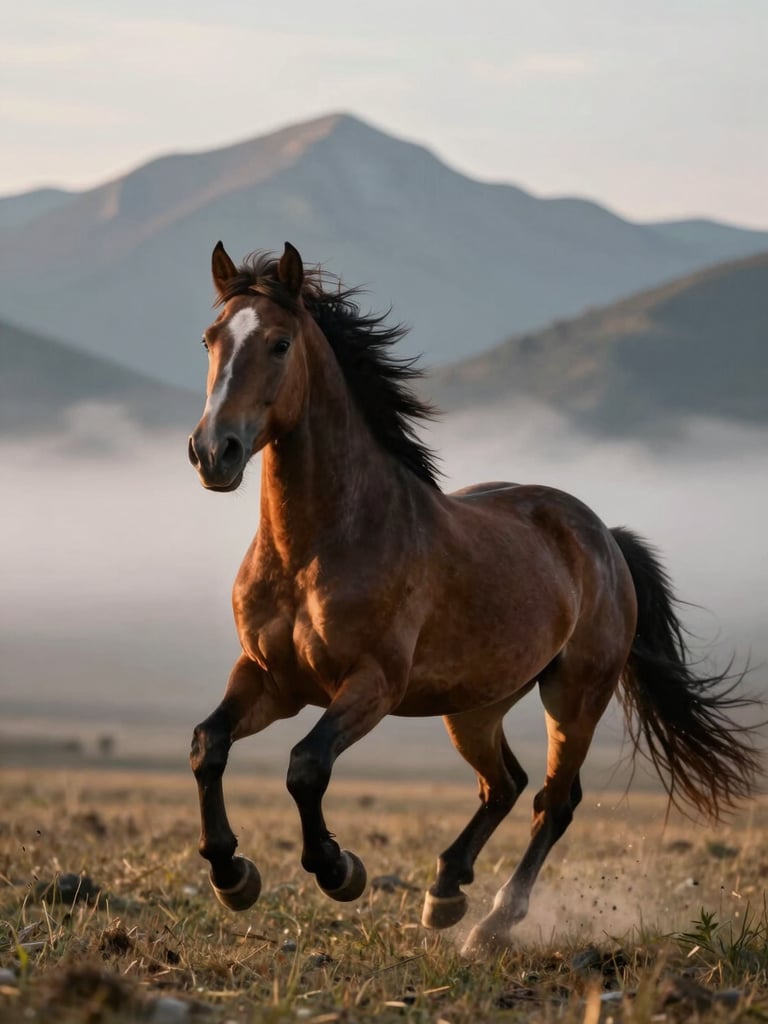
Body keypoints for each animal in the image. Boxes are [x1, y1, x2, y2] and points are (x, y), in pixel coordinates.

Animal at [187, 241, 761, 956]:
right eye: (210, 339)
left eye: (280, 343)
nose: (214, 452)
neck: (315, 548)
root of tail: (604, 536)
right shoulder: (270, 678)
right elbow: (208, 745)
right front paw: (231, 875)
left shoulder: (371, 685)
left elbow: (306, 766)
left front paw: (340, 871)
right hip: (476, 706)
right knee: (504, 784)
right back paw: (445, 892)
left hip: (574, 695)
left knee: (553, 801)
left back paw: (491, 922)